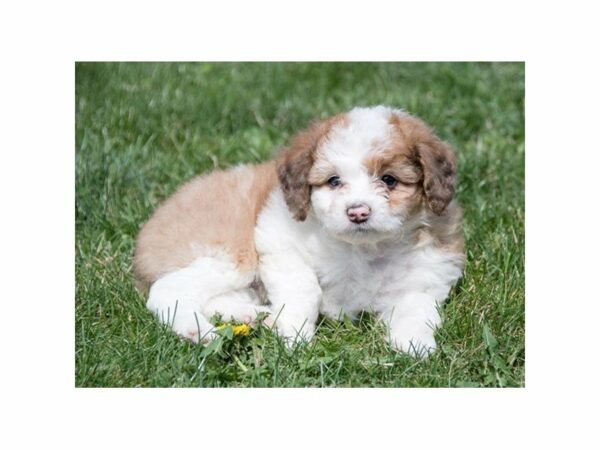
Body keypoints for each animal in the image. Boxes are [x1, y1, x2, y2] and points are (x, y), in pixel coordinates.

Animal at [135, 105, 464, 356]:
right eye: (334, 181)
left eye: (389, 180)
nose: (358, 212)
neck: (363, 249)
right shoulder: (278, 241)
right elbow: (305, 288)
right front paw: (295, 335)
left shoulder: (426, 274)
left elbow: (417, 307)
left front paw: (414, 344)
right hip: (230, 253)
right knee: (166, 289)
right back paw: (200, 331)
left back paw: (255, 315)